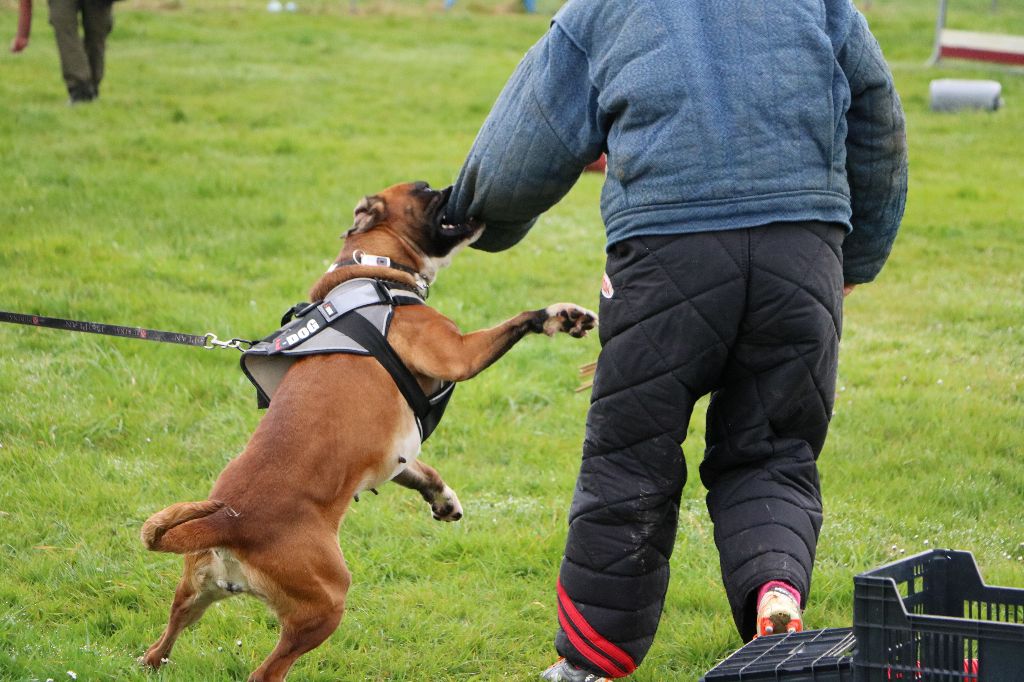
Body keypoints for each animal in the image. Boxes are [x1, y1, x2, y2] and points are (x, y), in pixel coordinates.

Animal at [140, 182, 598, 679]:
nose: (455, 188)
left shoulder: (395, 455)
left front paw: (443, 500)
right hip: (325, 603)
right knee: (266, 671)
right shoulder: (458, 354)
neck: (374, 267)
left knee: (167, 633)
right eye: (425, 190)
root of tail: (228, 522)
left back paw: (152, 660)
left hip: (195, 593)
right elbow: (515, 322)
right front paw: (559, 315)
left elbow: (423, 472)